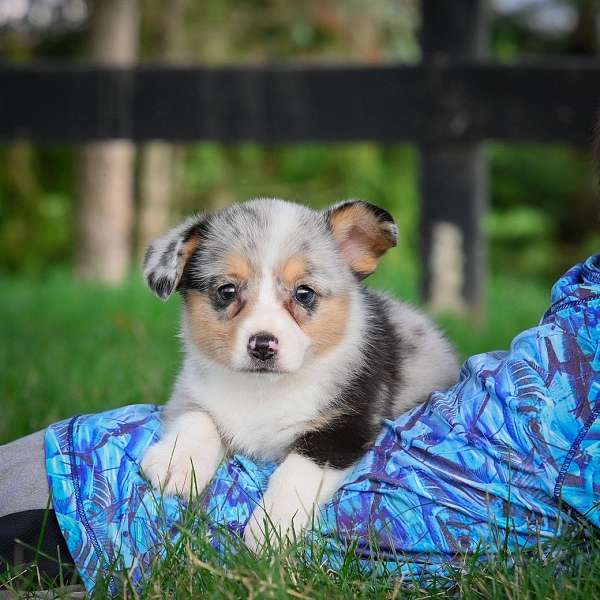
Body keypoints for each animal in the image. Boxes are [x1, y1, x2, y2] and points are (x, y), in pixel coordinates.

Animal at [141, 198, 460, 552]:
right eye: (227, 290)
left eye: (304, 293)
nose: (262, 346)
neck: (263, 389)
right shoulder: (189, 391)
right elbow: (197, 418)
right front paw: (176, 464)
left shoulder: (346, 427)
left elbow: (297, 470)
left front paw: (271, 527)